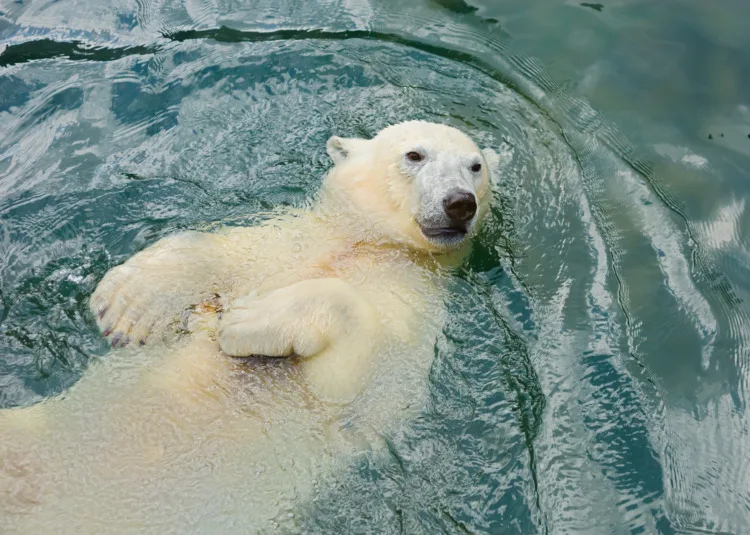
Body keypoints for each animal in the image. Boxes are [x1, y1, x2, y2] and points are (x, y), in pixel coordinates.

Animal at [1, 120, 500, 532]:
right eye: (415, 155)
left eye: (475, 165)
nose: (460, 203)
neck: (369, 246)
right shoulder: (279, 241)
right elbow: (213, 247)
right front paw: (129, 302)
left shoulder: (412, 324)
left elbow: (347, 381)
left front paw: (248, 319)